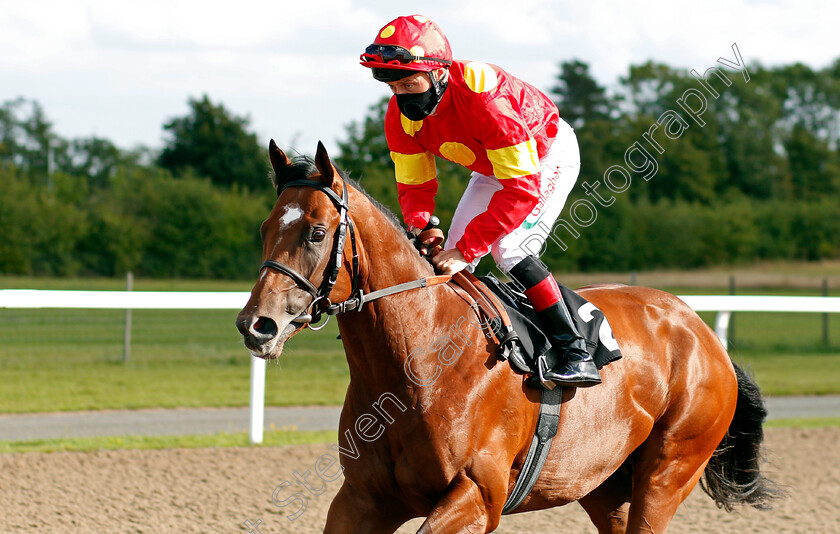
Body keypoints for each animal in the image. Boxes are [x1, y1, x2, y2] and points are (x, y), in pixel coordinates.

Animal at [233, 140, 776, 532]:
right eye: (264, 229)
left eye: (316, 232)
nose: (257, 325)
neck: (418, 363)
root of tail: (701, 330)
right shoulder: (364, 498)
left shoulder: (477, 495)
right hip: (602, 485)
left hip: (667, 472)